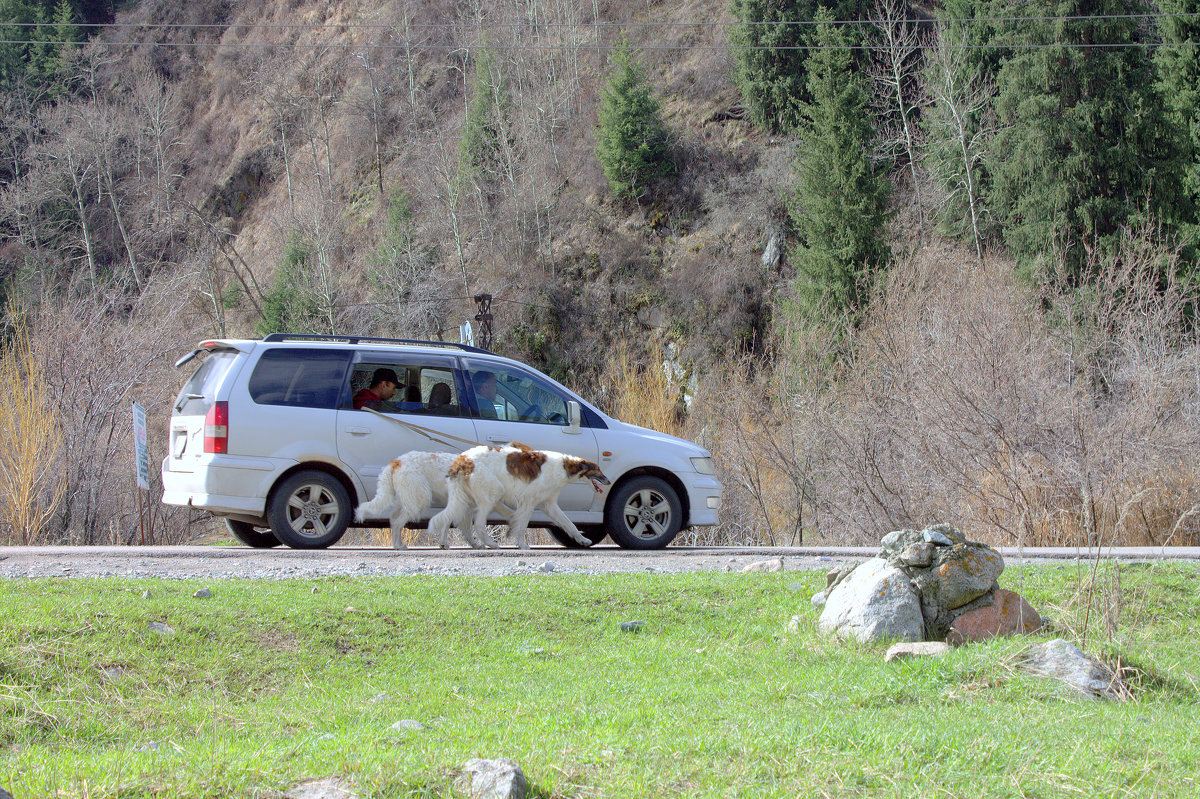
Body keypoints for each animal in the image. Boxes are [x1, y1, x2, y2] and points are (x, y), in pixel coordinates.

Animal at [352, 451, 484, 551]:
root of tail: (397, 462)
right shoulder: (462, 505)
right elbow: (466, 529)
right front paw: (476, 544)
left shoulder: (456, 505)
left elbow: (447, 524)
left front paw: (444, 544)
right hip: (419, 499)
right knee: (397, 523)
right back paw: (399, 546)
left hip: (406, 499)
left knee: (394, 519)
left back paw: (397, 544)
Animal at [429, 441, 609, 547]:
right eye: (598, 470)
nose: (608, 481)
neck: (564, 467)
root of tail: (462, 459)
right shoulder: (528, 502)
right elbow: (522, 526)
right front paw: (522, 545)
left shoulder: (549, 504)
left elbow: (569, 524)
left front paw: (583, 540)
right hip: (491, 493)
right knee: (478, 524)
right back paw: (491, 544)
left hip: (465, 497)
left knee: (448, 518)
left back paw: (447, 543)